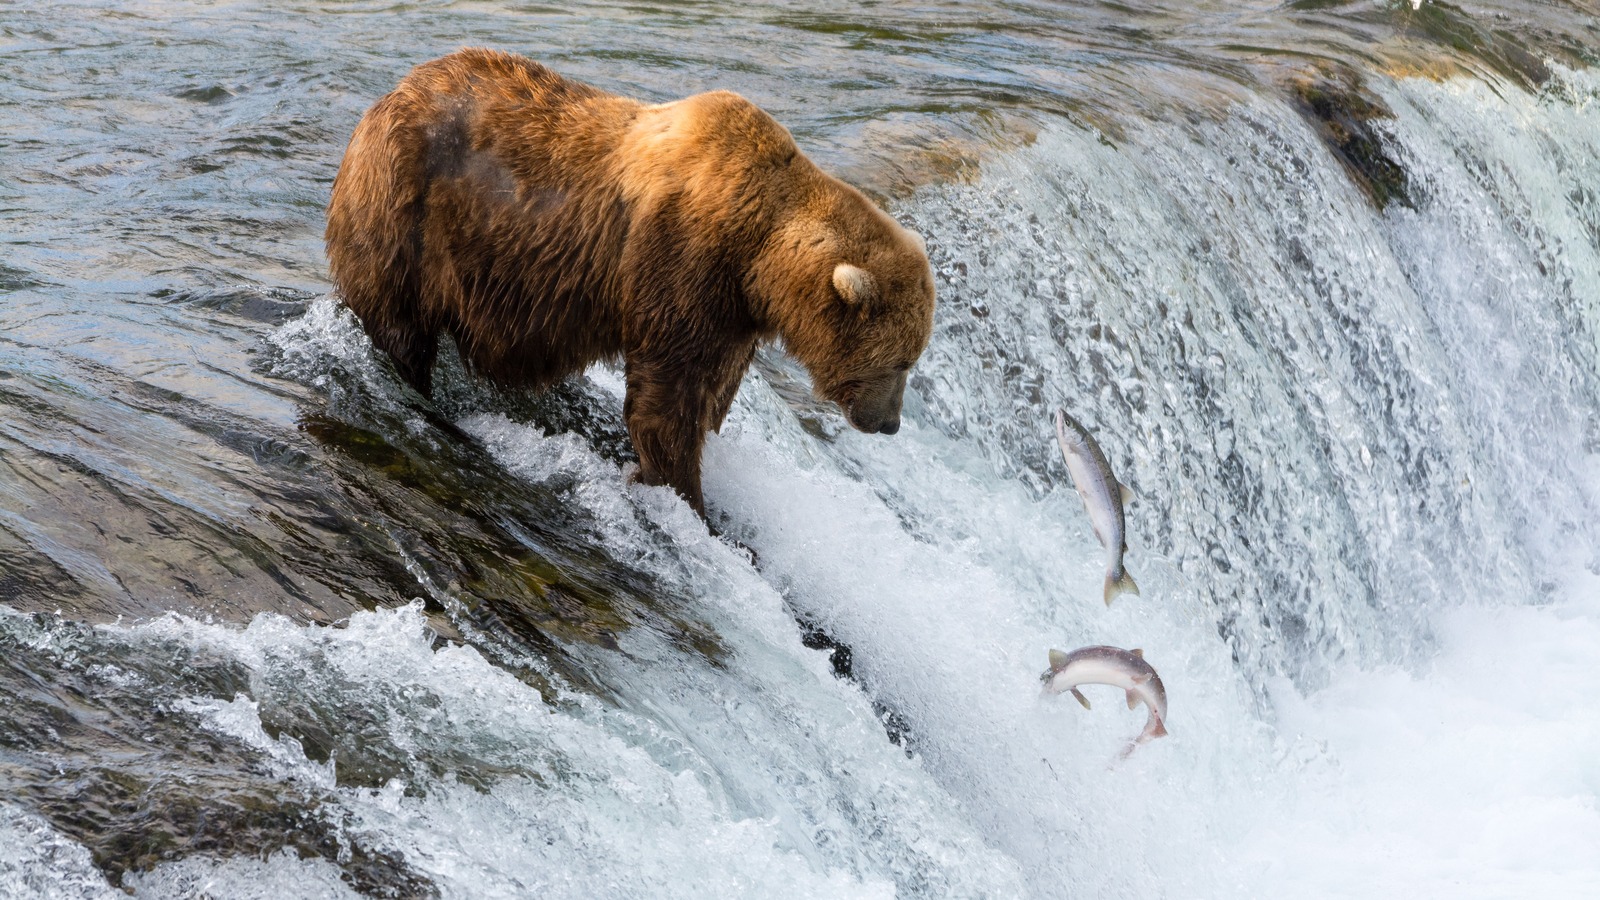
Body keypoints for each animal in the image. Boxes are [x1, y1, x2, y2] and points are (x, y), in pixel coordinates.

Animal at [326, 48, 934, 517]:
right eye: (902, 360)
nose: (890, 423)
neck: (758, 253)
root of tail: (385, 98)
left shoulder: (732, 313)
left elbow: (712, 391)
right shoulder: (683, 260)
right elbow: (668, 400)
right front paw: (686, 496)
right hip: (406, 211)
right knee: (399, 325)